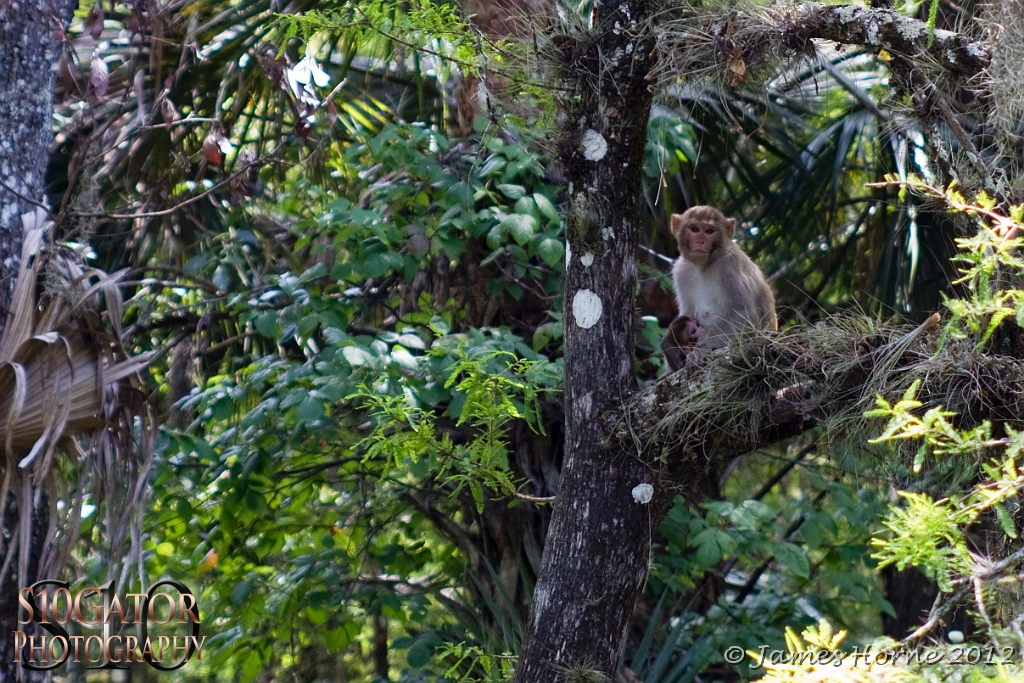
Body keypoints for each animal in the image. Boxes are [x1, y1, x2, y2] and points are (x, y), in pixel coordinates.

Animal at [663, 205, 774, 370]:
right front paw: (669, 347)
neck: (703, 266)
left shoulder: (729, 264)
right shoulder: (681, 271)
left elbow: (744, 314)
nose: (700, 240)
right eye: (694, 229)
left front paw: (701, 350)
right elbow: (685, 315)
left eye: (709, 231)